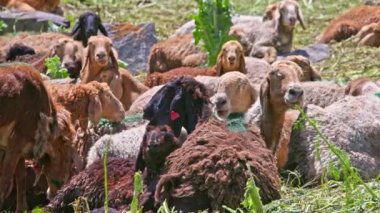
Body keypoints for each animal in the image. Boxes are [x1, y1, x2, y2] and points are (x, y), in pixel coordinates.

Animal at [0, 62, 59, 211]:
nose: (53, 194)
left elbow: (20, 177)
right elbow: (5, 181)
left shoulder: (16, 148)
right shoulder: (16, 144)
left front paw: (21, 209)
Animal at [48, 125, 182, 211]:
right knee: (56, 201)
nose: (152, 145)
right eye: (146, 136)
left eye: (168, 137)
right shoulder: (115, 194)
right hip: (75, 183)